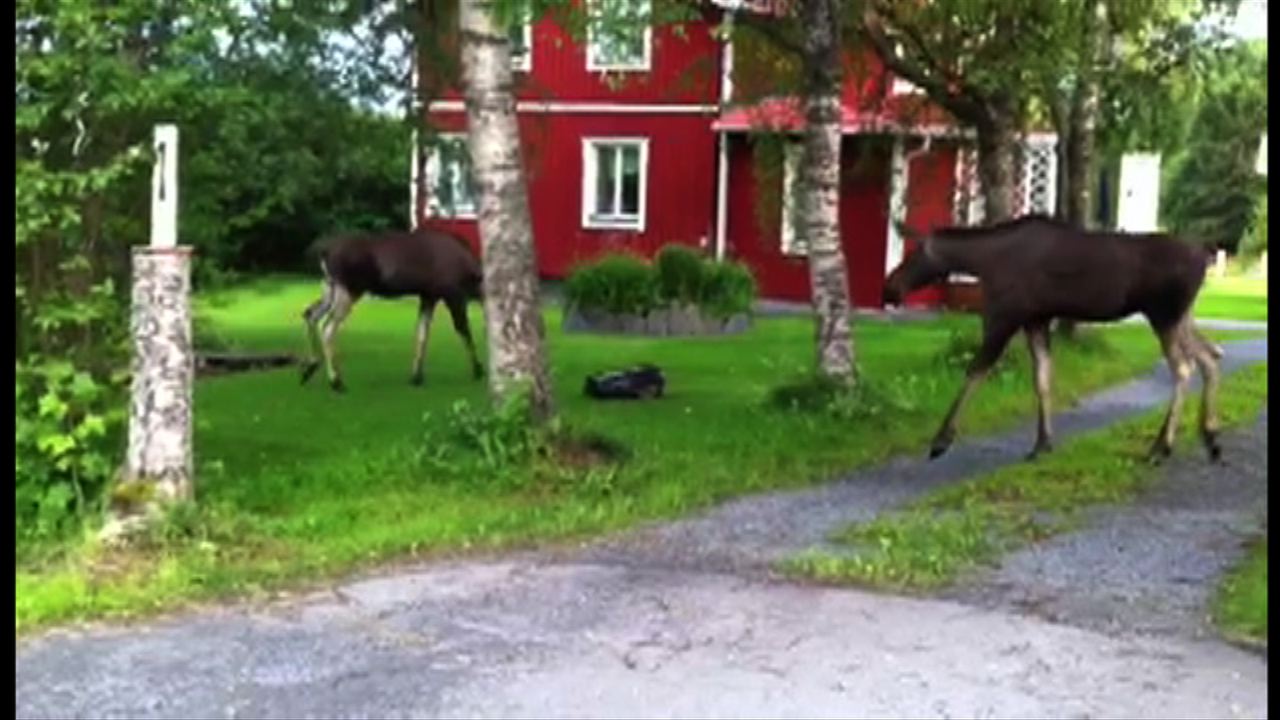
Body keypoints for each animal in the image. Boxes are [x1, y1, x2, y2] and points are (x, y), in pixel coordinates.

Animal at [299, 225, 483, 389]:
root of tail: (324, 253)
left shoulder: (428, 296)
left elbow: (422, 334)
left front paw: (416, 377)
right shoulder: (452, 293)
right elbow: (463, 330)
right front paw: (478, 370)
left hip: (329, 286)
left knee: (310, 314)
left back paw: (310, 368)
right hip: (350, 289)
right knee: (327, 327)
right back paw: (336, 382)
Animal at [885, 212, 1223, 461]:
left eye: (913, 253)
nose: (890, 288)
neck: (981, 262)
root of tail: (1205, 255)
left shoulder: (1004, 316)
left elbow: (975, 372)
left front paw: (941, 440)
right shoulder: (1036, 320)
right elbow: (1043, 378)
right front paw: (1042, 443)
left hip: (1164, 315)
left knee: (1184, 367)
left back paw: (1162, 446)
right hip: (1181, 317)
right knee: (1210, 356)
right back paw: (1210, 437)